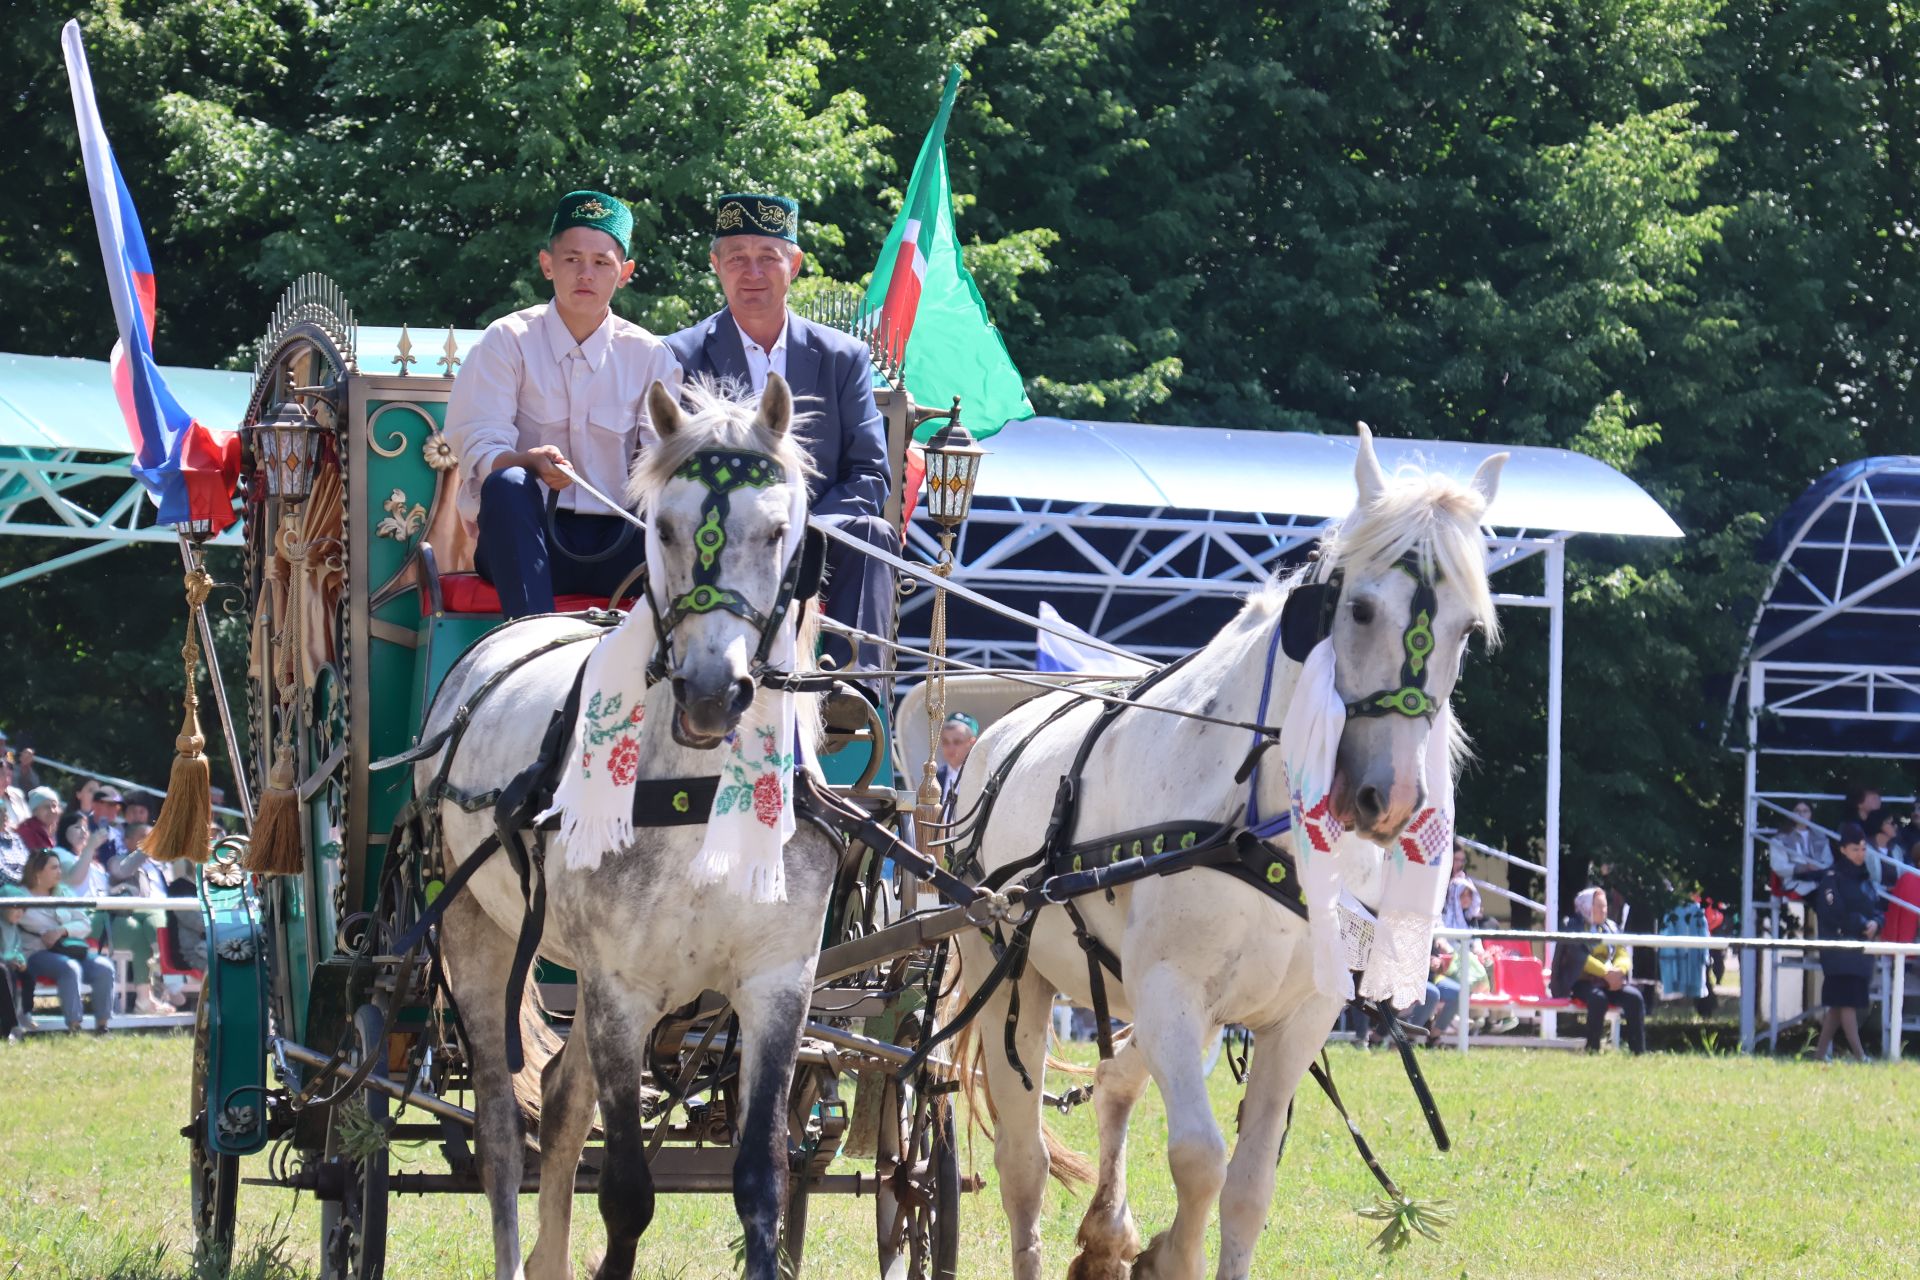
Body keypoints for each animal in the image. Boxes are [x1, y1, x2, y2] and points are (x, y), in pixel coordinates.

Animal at [416, 378, 837, 1280]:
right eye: (665, 527)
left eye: (777, 529)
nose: (712, 694)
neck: (699, 799)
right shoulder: (619, 989)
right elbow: (627, 1193)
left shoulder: (777, 982)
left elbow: (762, 1180)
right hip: (475, 931)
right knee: (501, 1130)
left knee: (562, 1104)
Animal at [952, 433, 1505, 1280]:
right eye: (1358, 608)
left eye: (1467, 629)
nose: (1392, 798)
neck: (1257, 823)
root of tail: (994, 738)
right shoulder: (1172, 991)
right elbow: (1200, 1161)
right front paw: (1168, 1255)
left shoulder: (1298, 1017)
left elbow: (1247, 1186)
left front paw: (1140, 1243)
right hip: (1011, 976)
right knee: (1023, 1164)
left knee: (1114, 1083)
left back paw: (1107, 1231)